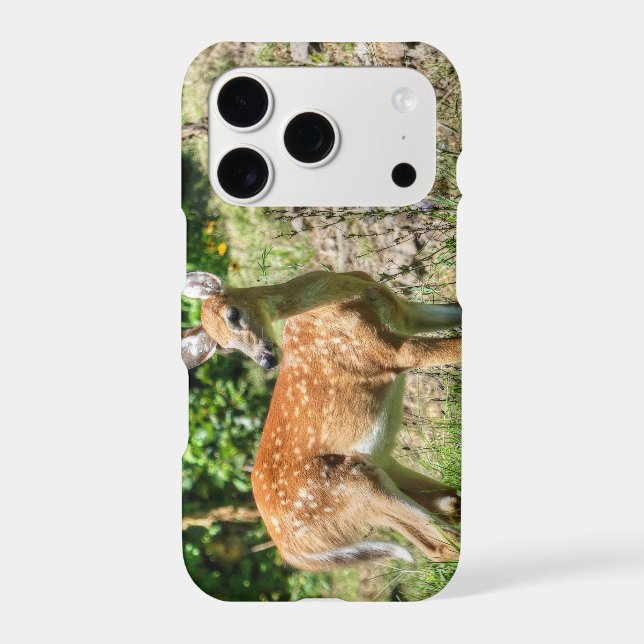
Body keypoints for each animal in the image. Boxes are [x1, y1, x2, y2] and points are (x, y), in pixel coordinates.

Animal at [182, 270, 462, 569]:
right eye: (225, 346)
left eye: (232, 313)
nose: (266, 360)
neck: (343, 296)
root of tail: (290, 551)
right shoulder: (387, 351)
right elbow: (456, 347)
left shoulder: (403, 313)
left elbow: (455, 310)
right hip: (349, 486)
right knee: (441, 544)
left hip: (382, 467)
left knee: (446, 513)